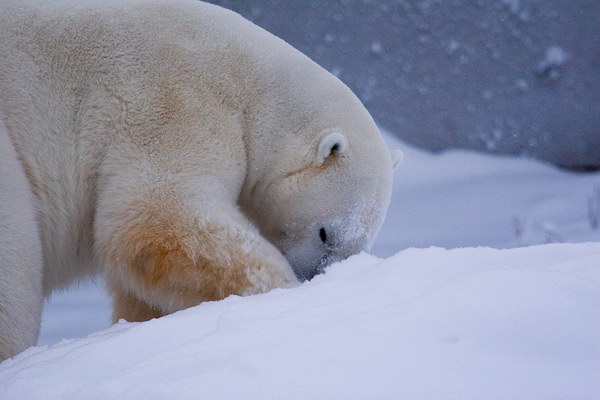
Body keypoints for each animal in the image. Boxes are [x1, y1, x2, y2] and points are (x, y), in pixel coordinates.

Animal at [0, 0, 404, 360]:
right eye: (325, 234)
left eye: (355, 249)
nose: (313, 277)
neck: (251, 78)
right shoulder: (176, 103)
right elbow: (158, 218)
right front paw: (278, 290)